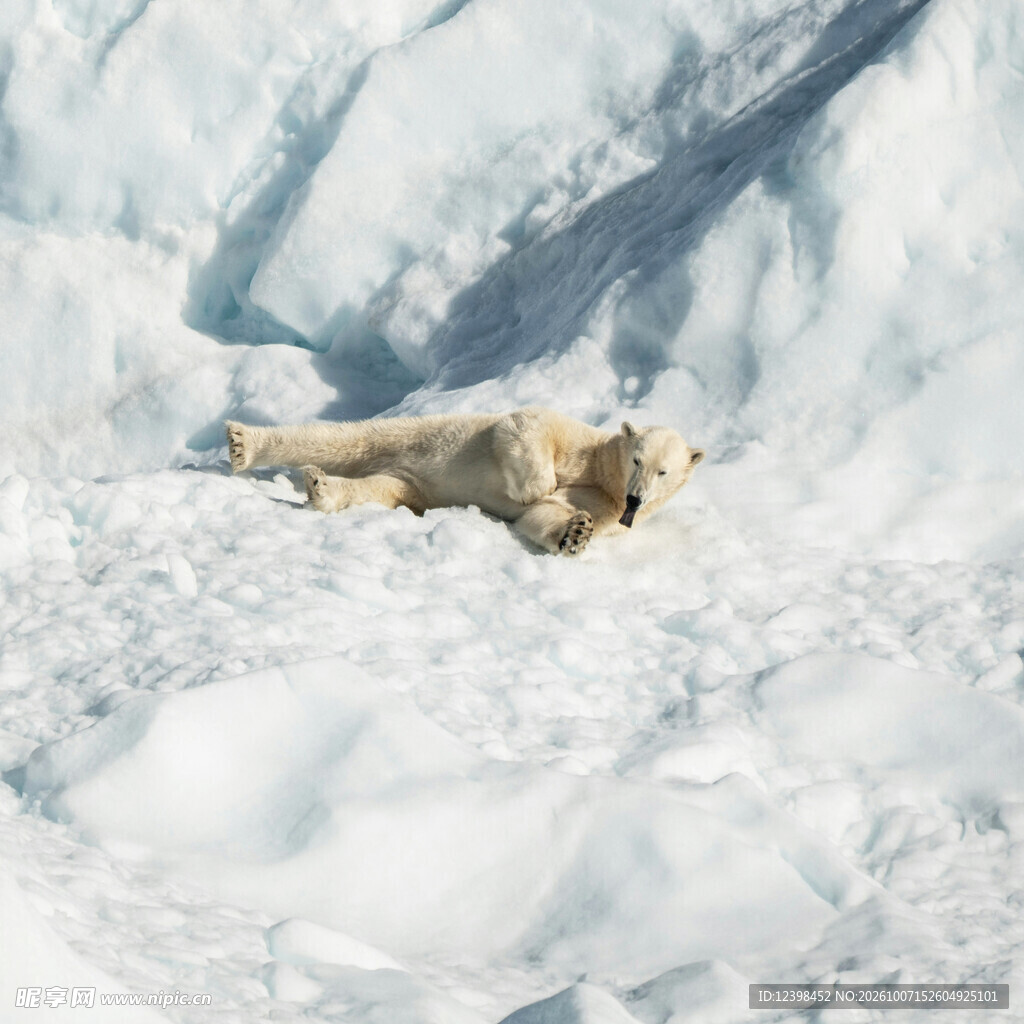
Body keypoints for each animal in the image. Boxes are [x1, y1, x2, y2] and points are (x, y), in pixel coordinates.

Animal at [225, 407, 704, 556]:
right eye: (638, 459)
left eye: (663, 471)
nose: (635, 500)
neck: (605, 475)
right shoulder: (574, 440)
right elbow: (526, 428)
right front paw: (537, 486)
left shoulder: (607, 506)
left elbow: (546, 516)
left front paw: (576, 533)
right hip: (418, 433)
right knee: (341, 437)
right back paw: (243, 442)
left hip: (409, 484)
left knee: (379, 489)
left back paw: (321, 489)